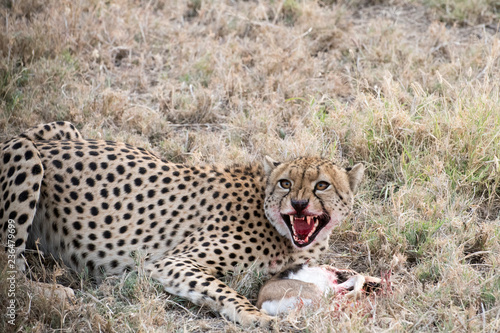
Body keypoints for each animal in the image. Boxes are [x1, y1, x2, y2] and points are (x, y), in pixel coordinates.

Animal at [1, 121, 366, 324]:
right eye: (286, 183)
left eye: (322, 185)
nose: (299, 203)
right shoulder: (171, 262)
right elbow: (225, 291)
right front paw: (257, 317)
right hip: (25, 152)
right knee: (9, 270)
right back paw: (55, 294)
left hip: (64, 129)